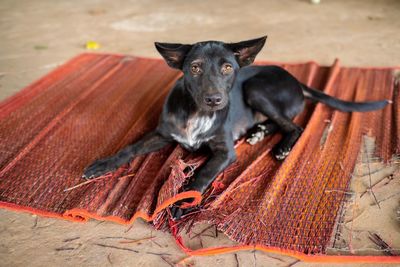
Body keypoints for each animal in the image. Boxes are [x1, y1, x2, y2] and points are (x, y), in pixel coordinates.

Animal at [82, 35, 390, 220]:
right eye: (194, 67)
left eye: (228, 67)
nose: (215, 99)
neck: (198, 112)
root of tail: (294, 79)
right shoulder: (162, 133)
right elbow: (131, 147)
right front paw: (103, 164)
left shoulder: (224, 153)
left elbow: (203, 174)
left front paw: (182, 202)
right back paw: (257, 133)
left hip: (256, 88)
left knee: (294, 126)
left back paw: (281, 146)